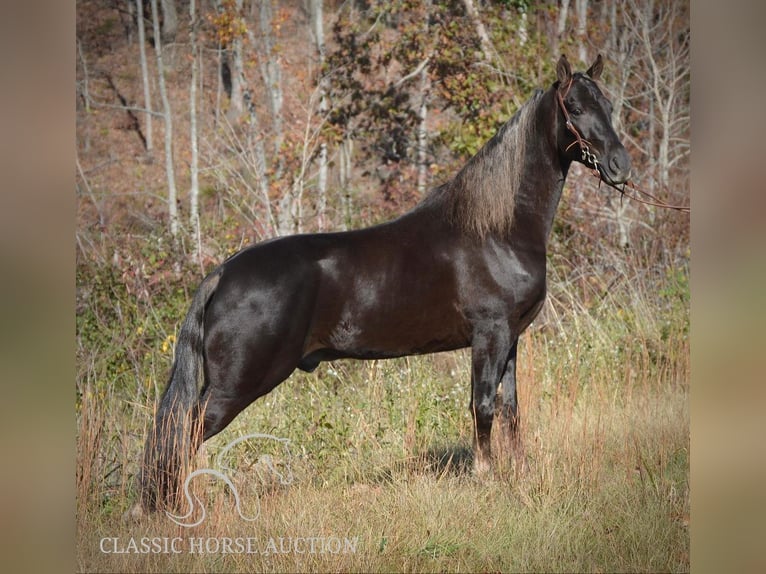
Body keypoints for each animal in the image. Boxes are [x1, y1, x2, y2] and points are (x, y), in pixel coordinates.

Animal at [138, 54, 632, 512]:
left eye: (608, 104)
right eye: (574, 106)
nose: (620, 165)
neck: (497, 230)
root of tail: (222, 274)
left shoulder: (511, 338)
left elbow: (510, 409)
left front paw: (521, 476)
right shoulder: (489, 334)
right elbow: (483, 406)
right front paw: (487, 477)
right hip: (237, 384)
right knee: (184, 432)